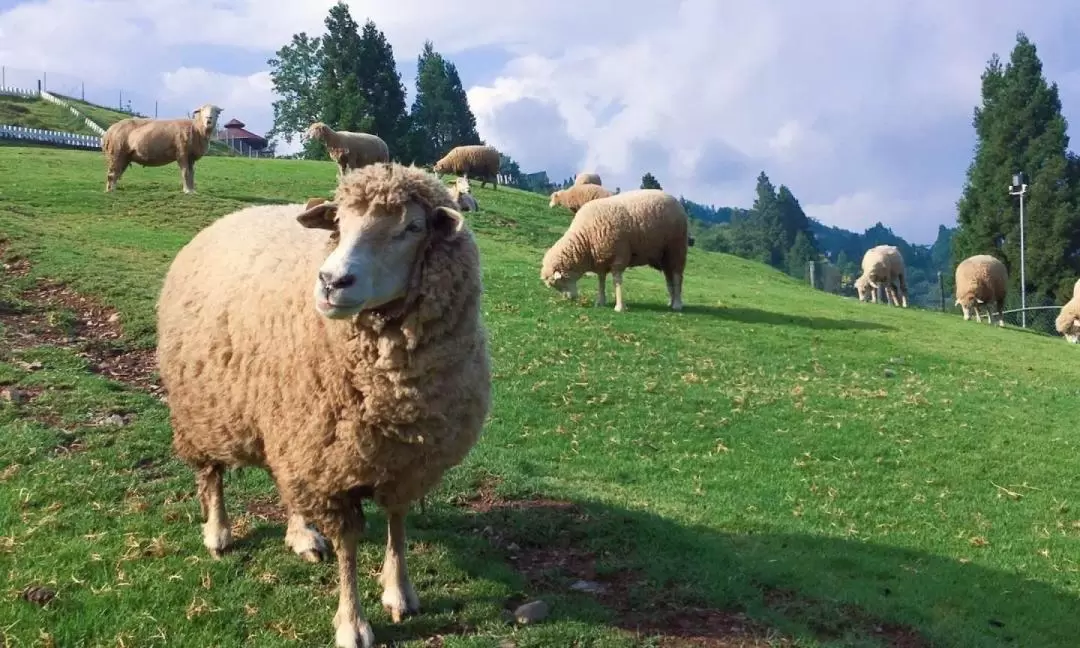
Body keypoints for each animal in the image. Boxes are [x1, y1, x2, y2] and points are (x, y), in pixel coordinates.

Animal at [157, 162, 494, 648]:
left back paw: (301, 534)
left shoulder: (405, 464)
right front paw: (351, 622)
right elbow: (349, 547)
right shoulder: (332, 469)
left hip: (289, 426)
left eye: (412, 228)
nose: (332, 281)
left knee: (286, 481)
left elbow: (397, 523)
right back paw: (218, 531)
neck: (391, 394)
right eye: (339, 223)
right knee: (211, 473)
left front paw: (399, 591)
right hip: (206, 408)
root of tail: (228, 218)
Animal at [540, 186, 691, 311]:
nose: (569, 299)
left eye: (559, 282)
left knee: (677, 276)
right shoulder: (600, 259)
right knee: (669, 278)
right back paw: (671, 302)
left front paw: (619, 307)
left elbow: (617, 281)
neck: (585, 239)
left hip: (676, 248)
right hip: (663, 256)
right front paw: (600, 301)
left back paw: (677, 304)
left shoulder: (619, 256)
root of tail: (675, 200)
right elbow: (601, 280)